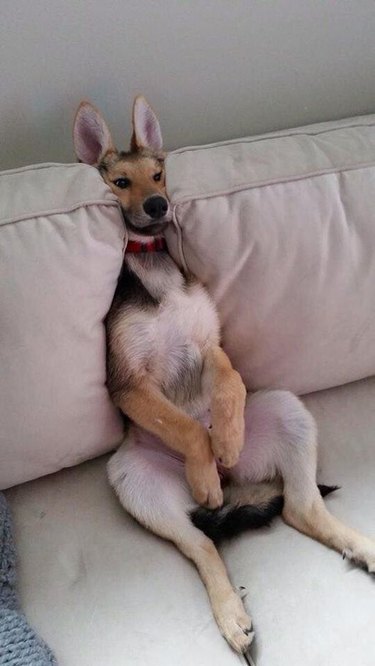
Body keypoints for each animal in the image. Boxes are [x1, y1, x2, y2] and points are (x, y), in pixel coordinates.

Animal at [73, 96, 375, 652]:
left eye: (159, 174)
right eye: (120, 182)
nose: (159, 206)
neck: (152, 266)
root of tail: (239, 484)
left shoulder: (209, 346)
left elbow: (231, 382)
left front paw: (227, 437)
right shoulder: (129, 383)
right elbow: (185, 425)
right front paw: (206, 464)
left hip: (287, 409)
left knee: (301, 509)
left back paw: (358, 543)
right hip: (135, 483)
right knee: (203, 547)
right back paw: (231, 611)